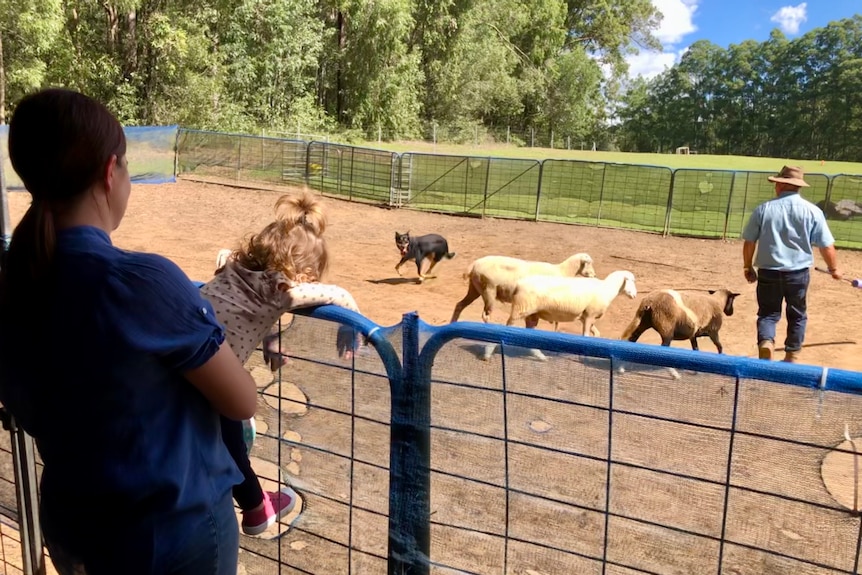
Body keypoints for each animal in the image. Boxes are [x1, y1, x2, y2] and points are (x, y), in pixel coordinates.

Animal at [448, 253, 596, 328]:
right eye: (588, 263)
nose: (594, 275)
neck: (562, 271)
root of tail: (474, 264)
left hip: (475, 288)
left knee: (459, 305)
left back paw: (452, 323)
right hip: (489, 290)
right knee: (486, 315)